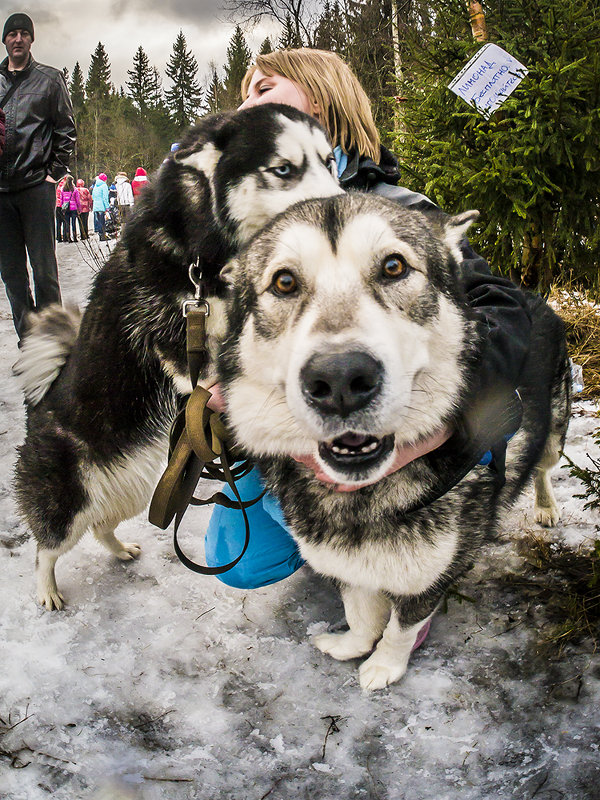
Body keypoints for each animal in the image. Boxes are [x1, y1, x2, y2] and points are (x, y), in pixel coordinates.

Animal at [12, 103, 342, 608]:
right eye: (284, 169)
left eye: (329, 162)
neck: (207, 258)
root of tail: (39, 406)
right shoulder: (172, 334)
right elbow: (207, 372)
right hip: (67, 501)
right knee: (47, 548)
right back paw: (47, 590)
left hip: (133, 484)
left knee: (101, 525)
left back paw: (121, 548)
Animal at [218, 192, 568, 688]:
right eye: (284, 281)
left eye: (394, 267)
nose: (340, 379)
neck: (363, 496)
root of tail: (535, 295)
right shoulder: (346, 563)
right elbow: (360, 611)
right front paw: (352, 645)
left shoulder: (430, 576)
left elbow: (402, 627)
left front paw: (384, 666)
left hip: (554, 432)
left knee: (542, 466)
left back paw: (544, 505)